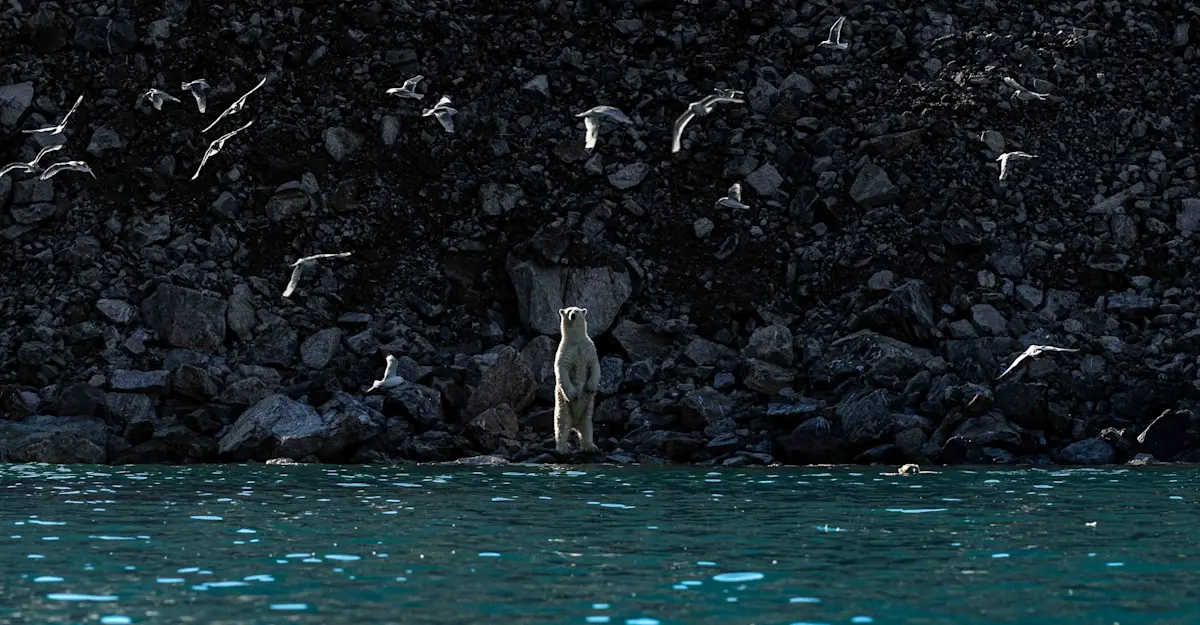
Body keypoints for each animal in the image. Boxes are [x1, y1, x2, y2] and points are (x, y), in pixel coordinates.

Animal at [554, 306, 601, 454]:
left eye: (577, 311)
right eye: (568, 311)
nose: (573, 315)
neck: (576, 341)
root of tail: (575, 423)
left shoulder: (588, 348)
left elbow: (594, 364)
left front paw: (590, 387)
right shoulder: (564, 351)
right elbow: (561, 369)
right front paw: (574, 394)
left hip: (587, 411)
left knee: (587, 427)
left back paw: (590, 446)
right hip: (564, 408)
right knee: (561, 425)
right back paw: (563, 447)